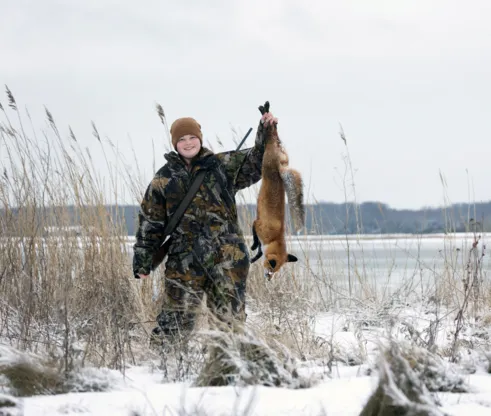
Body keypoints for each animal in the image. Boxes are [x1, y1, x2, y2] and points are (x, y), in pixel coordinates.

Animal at [251, 101, 305, 280]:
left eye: (276, 271)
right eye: (271, 268)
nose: (269, 279)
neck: (274, 238)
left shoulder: (259, 228)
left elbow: (259, 250)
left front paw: (254, 255)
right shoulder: (257, 225)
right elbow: (256, 241)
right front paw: (253, 248)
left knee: (272, 132)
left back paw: (266, 115)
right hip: (266, 162)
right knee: (271, 134)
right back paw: (266, 116)